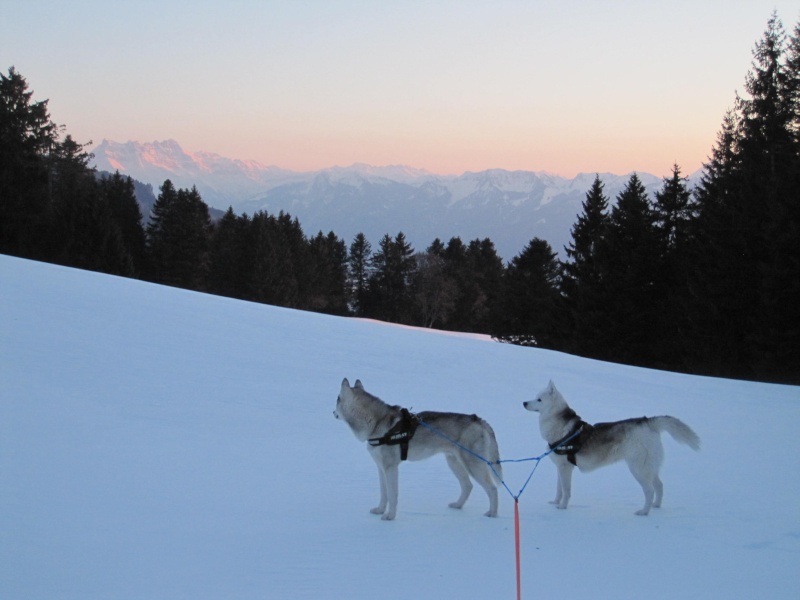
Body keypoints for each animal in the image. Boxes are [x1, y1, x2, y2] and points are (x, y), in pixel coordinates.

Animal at [336, 380, 500, 520]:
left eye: (337, 399)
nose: (332, 412)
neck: (377, 423)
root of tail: (478, 420)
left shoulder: (391, 468)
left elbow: (392, 495)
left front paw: (390, 516)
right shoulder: (381, 468)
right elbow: (384, 494)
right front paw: (380, 510)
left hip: (473, 465)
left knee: (492, 489)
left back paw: (492, 513)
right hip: (454, 462)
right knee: (468, 486)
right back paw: (457, 505)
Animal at [520, 380, 696, 516]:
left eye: (539, 399)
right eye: (535, 397)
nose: (524, 402)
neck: (558, 425)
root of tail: (647, 421)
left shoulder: (565, 469)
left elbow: (566, 491)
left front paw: (562, 507)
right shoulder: (561, 467)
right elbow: (559, 489)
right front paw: (555, 502)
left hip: (638, 468)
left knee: (650, 490)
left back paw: (644, 512)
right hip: (650, 468)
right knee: (659, 486)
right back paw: (656, 506)